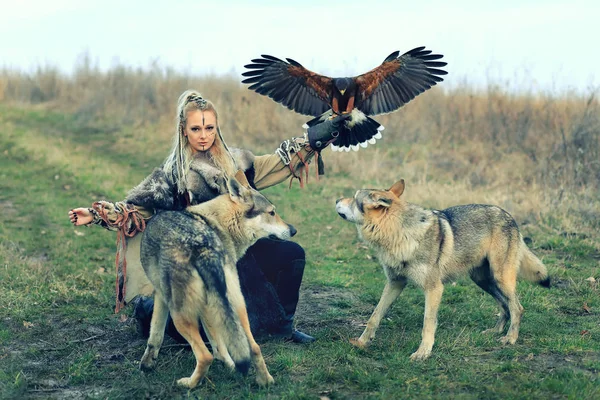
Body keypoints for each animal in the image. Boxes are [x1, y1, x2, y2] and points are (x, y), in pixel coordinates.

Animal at [137, 175, 296, 388]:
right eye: (272, 212)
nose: (294, 230)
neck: (221, 224)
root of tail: (203, 246)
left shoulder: (162, 297)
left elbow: (155, 333)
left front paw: (146, 364)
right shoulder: (208, 307)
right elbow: (220, 345)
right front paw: (231, 365)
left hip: (180, 314)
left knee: (205, 357)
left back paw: (189, 384)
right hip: (236, 306)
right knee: (253, 346)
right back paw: (264, 381)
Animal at [336, 180, 552, 360]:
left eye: (354, 198)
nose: (337, 199)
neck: (399, 233)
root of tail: (510, 216)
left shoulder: (434, 289)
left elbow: (428, 323)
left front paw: (423, 352)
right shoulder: (394, 283)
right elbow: (374, 316)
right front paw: (361, 342)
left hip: (501, 279)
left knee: (517, 308)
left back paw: (510, 338)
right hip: (483, 281)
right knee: (504, 306)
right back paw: (495, 332)